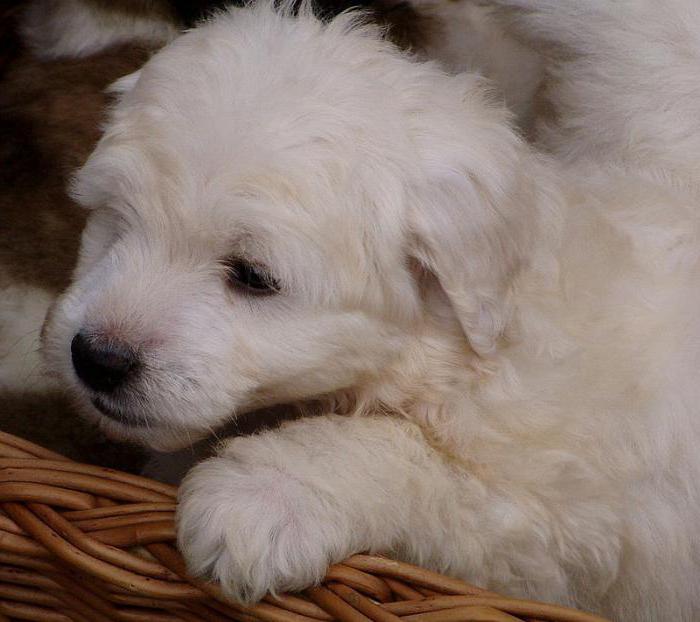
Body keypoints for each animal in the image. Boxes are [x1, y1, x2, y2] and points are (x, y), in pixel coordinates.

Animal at [39, 0, 700, 620]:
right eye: (117, 223)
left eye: (251, 276)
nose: (98, 358)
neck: (446, 357)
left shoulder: (558, 529)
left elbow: (405, 453)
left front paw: (264, 497)